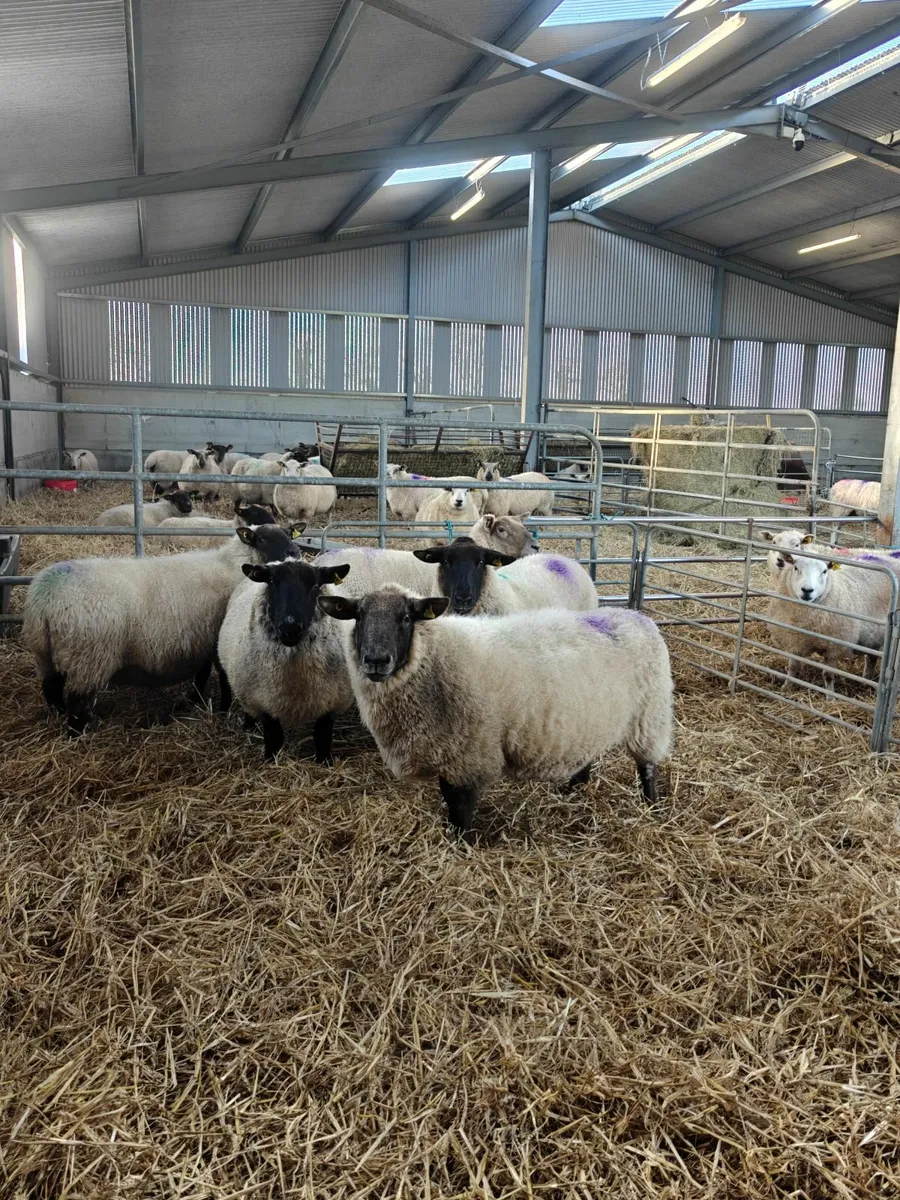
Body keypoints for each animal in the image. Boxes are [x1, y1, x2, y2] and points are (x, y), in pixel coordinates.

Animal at [23, 522, 304, 734]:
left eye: (289, 533)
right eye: (263, 538)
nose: (295, 551)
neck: (232, 566)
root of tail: (43, 600)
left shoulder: (201, 638)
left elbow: (202, 674)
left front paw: (195, 700)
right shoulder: (216, 638)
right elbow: (223, 677)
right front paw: (223, 707)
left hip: (46, 653)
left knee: (51, 688)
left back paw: (58, 716)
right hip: (88, 658)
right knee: (77, 703)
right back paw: (77, 734)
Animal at [319, 586, 674, 840]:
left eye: (407, 617)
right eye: (358, 615)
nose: (376, 660)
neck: (435, 657)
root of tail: (635, 616)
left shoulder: (468, 752)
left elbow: (458, 805)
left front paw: (461, 844)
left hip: (649, 715)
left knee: (647, 764)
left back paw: (651, 804)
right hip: (589, 718)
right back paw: (572, 790)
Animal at [766, 549, 900, 695]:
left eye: (824, 571)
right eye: (796, 568)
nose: (807, 590)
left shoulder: (834, 647)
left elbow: (828, 675)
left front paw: (830, 696)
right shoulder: (795, 641)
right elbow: (792, 668)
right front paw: (786, 687)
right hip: (874, 636)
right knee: (872, 658)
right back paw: (866, 680)